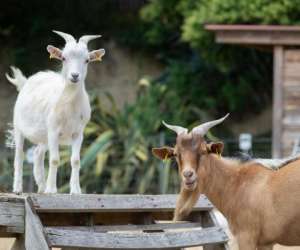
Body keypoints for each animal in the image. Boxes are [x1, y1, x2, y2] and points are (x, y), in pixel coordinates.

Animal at [5, 29, 105, 193]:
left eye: (87, 60)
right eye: (63, 58)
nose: (74, 76)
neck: (69, 105)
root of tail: (26, 82)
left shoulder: (78, 132)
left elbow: (76, 160)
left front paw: (76, 191)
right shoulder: (53, 131)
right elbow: (54, 160)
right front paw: (52, 190)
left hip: (43, 137)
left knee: (38, 154)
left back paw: (41, 187)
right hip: (18, 127)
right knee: (19, 156)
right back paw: (18, 188)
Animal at [152, 115, 300, 250]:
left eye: (203, 151)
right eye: (176, 154)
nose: (188, 175)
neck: (237, 183)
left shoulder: (246, 236)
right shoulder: (266, 243)